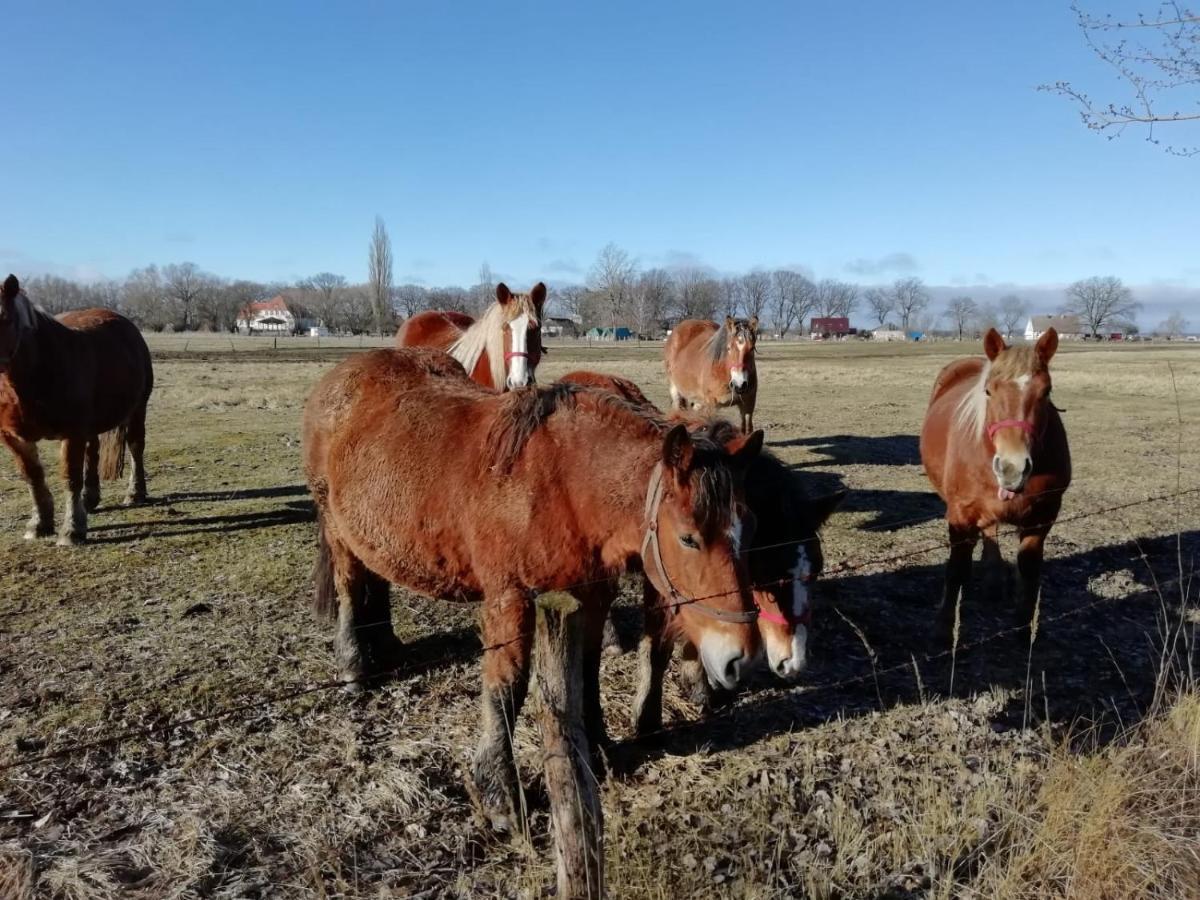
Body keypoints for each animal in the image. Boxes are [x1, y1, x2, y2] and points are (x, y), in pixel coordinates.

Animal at [0, 274, 154, 547]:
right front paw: (39, 524)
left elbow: (70, 477)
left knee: (136, 446)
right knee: (93, 451)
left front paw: (72, 530)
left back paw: (135, 493)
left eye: (4, 318)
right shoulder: (13, 437)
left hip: (137, 409)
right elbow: (32, 476)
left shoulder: (72, 433)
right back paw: (90, 499)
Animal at [554, 369, 844, 734]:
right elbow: (657, 647)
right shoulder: (664, 581)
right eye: (768, 572)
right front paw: (647, 716)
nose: (793, 662)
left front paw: (700, 683)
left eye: (815, 570)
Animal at [916, 328, 1070, 633]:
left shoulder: (1042, 518)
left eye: (1046, 391)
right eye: (988, 390)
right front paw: (943, 630)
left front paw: (1022, 633)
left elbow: (1029, 573)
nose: (1012, 468)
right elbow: (956, 572)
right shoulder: (960, 516)